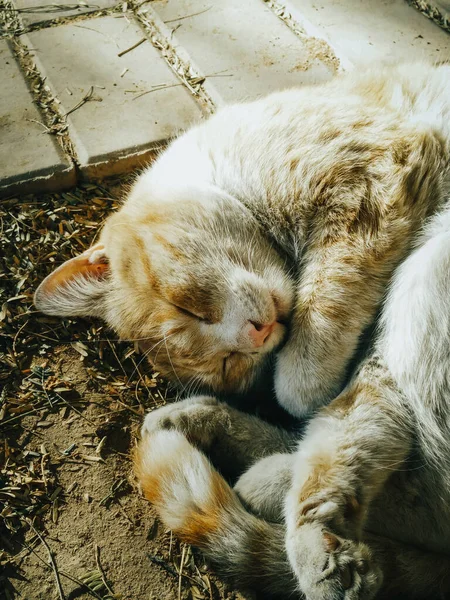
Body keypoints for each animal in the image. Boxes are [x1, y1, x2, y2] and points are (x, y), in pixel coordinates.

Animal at [35, 63, 450, 596]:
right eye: (230, 365)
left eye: (188, 307)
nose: (255, 335)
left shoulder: (373, 179)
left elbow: (305, 367)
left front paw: (303, 378)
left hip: (429, 272)